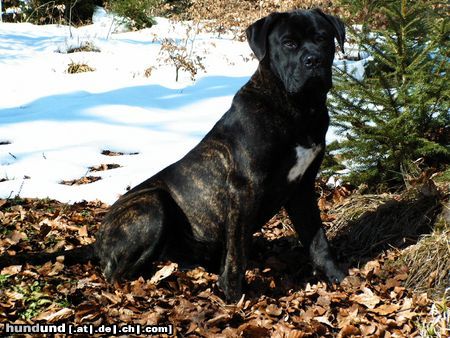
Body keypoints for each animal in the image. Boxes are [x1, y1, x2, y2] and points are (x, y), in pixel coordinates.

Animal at [0, 9, 346, 302]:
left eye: (323, 38)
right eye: (288, 43)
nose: (313, 60)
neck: (297, 108)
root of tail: (97, 241)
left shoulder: (302, 188)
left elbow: (318, 239)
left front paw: (338, 279)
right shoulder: (244, 187)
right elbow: (237, 252)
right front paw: (233, 295)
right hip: (153, 204)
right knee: (116, 272)